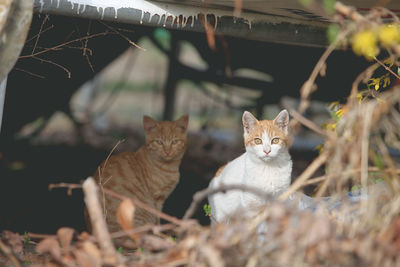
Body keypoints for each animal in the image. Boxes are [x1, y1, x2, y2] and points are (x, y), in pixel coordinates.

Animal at [88, 115, 188, 243]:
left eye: (174, 141)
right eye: (159, 142)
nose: (167, 151)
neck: (169, 167)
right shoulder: (156, 198)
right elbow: (157, 219)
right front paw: (159, 233)